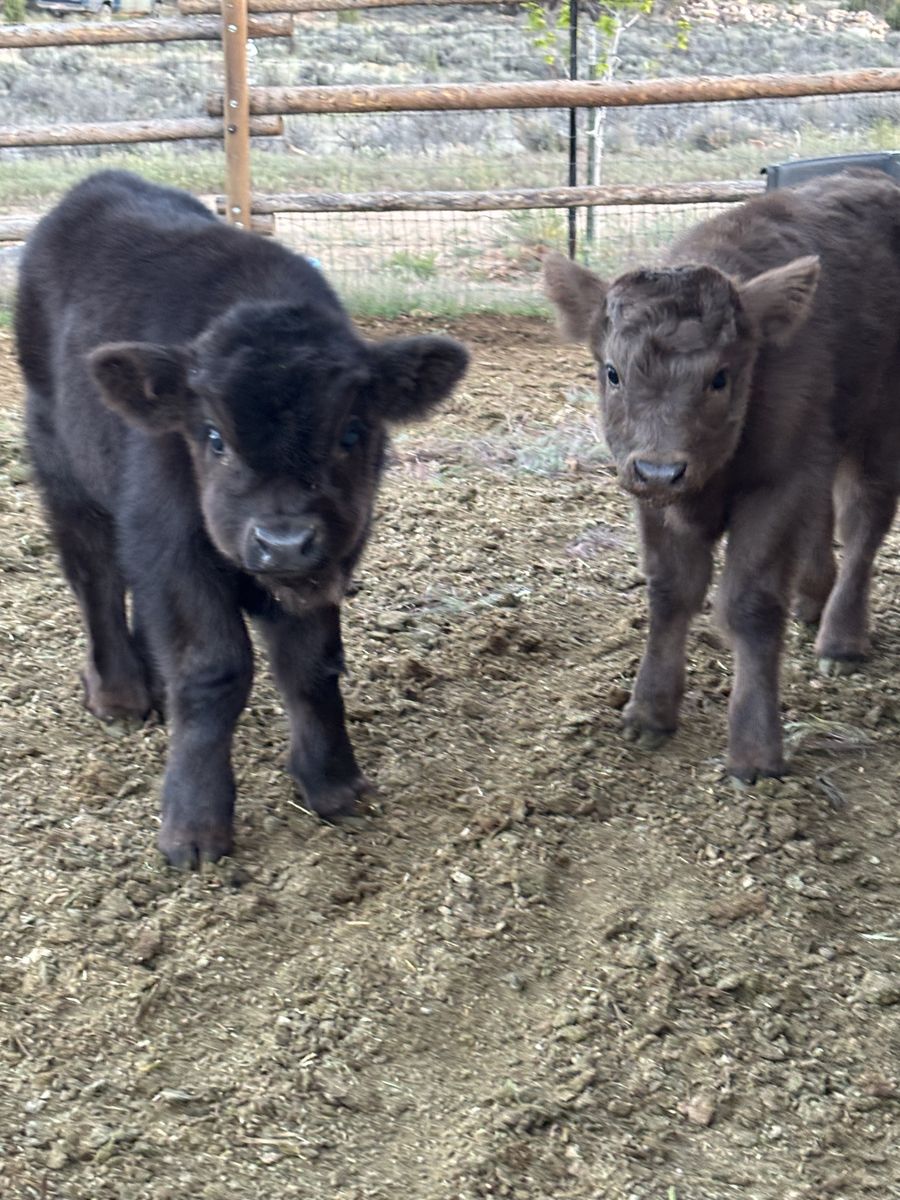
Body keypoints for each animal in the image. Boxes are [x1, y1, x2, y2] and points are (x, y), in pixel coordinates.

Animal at [16, 171, 469, 866]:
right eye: (213, 437)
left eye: (352, 431)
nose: (283, 541)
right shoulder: (175, 546)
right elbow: (214, 669)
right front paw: (194, 827)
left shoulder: (329, 560)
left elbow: (312, 664)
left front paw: (332, 782)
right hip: (61, 463)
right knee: (94, 575)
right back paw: (119, 693)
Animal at [543, 171, 900, 784]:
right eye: (612, 372)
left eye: (720, 377)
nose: (662, 468)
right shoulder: (652, 498)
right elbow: (671, 589)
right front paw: (649, 712)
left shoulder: (777, 484)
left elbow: (749, 603)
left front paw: (755, 751)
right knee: (826, 513)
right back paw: (812, 599)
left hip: (881, 426)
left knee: (863, 520)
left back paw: (840, 639)